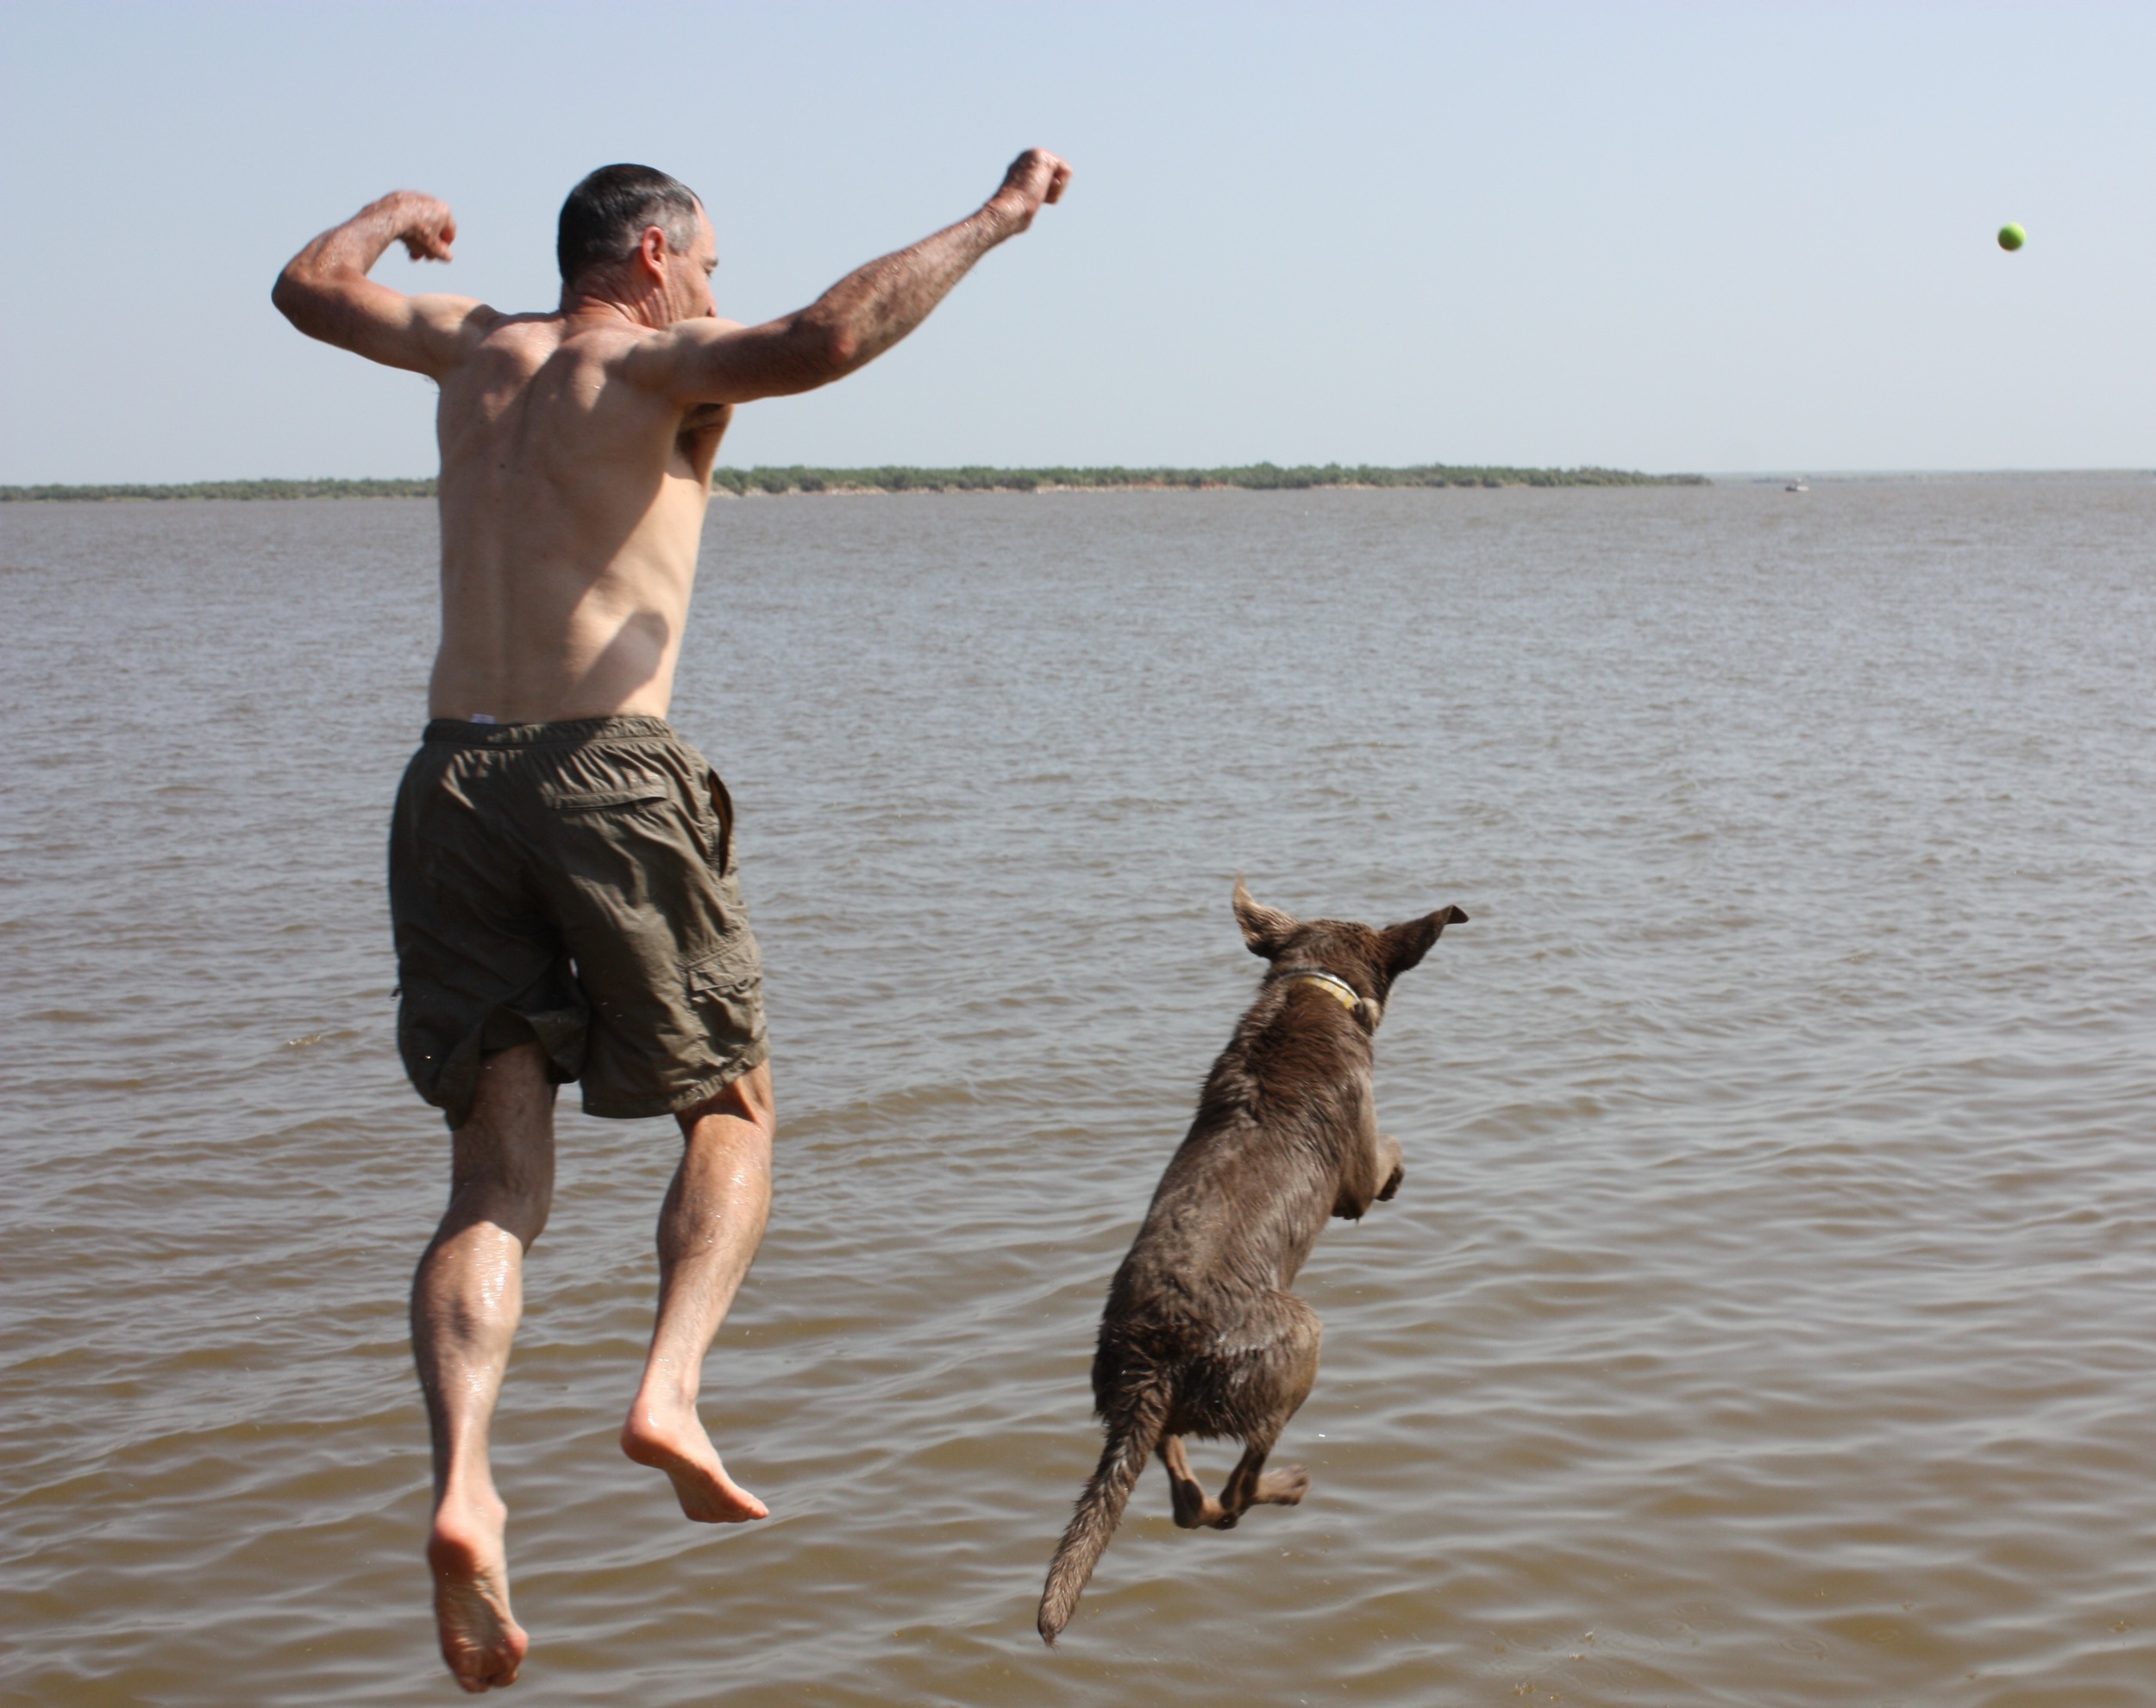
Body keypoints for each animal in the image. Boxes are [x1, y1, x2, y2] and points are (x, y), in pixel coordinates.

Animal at [1039, 879, 1475, 1638]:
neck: (1313, 986)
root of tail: (1157, 1360)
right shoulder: (1355, 1174)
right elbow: (1386, 1155)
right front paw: (1399, 1172)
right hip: (1300, 1343)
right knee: (1234, 1493)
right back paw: (1289, 1485)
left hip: (1134, 1395)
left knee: (1186, 1493)